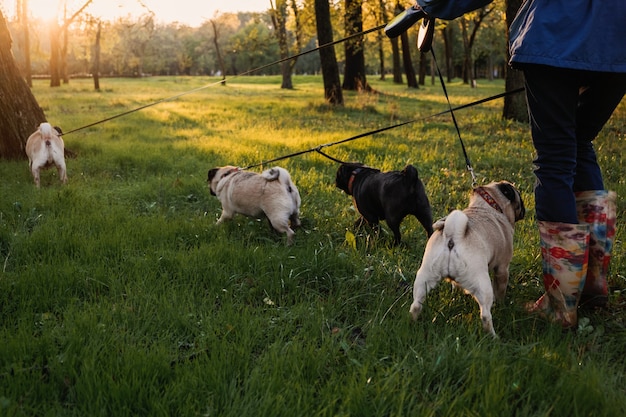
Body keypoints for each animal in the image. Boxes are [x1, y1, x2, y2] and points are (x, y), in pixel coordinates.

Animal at [408, 180, 524, 336]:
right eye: (520, 199)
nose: (524, 209)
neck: (486, 206)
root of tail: (453, 237)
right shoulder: (502, 268)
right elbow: (500, 290)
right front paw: (502, 305)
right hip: (483, 284)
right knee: (485, 314)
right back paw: (492, 336)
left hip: (424, 277)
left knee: (416, 305)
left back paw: (413, 324)